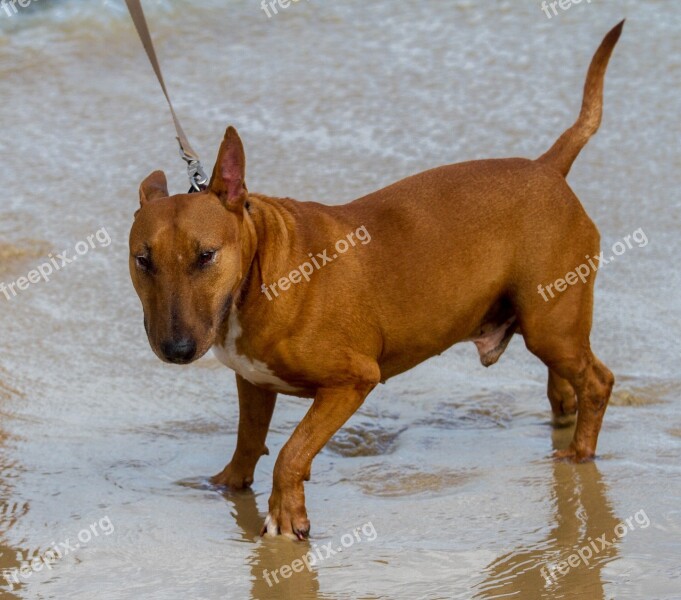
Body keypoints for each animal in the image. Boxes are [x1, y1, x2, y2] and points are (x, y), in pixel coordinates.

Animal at [127, 22, 620, 540]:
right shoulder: (254, 381)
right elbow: (248, 439)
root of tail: (547, 167)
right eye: (143, 260)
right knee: (567, 382)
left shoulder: (354, 379)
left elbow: (292, 450)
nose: (176, 350)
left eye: (206, 255)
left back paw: (581, 453)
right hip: (546, 322)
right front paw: (227, 484)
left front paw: (285, 515)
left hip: (551, 324)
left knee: (598, 381)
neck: (261, 268)